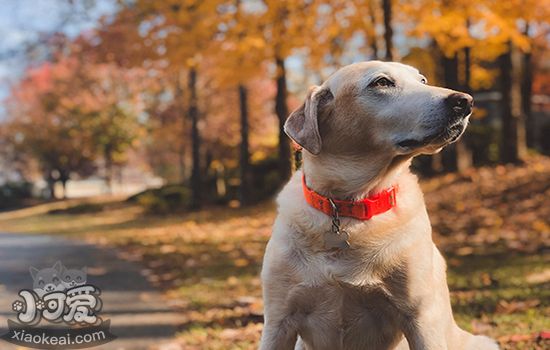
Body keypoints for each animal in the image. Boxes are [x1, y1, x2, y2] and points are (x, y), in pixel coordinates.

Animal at [260, 62, 500, 350]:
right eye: (382, 82)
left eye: (422, 80)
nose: (465, 101)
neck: (350, 205)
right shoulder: (278, 320)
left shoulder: (420, 316)